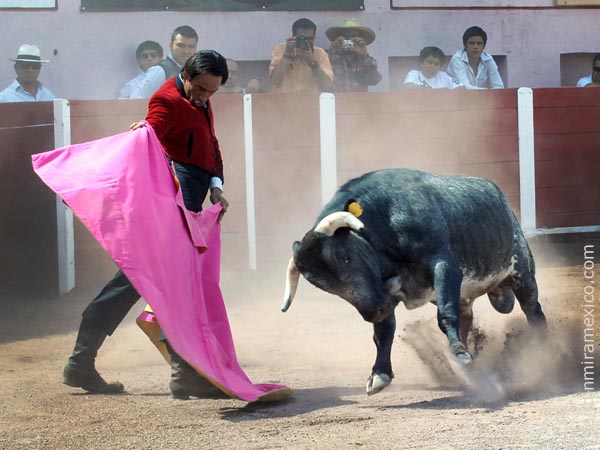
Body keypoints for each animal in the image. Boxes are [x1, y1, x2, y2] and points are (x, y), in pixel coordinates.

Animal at [284, 169, 548, 394]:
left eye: (344, 257)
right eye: (321, 285)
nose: (374, 311)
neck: (385, 223)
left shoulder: (445, 266)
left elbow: (445, 315)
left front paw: (459, 354)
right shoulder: (385, 293)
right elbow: (384, 332)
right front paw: (379, 375)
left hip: (522, 272)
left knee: (533, 309)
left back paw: (542, 349)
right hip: (464, 296)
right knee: (465, 319)